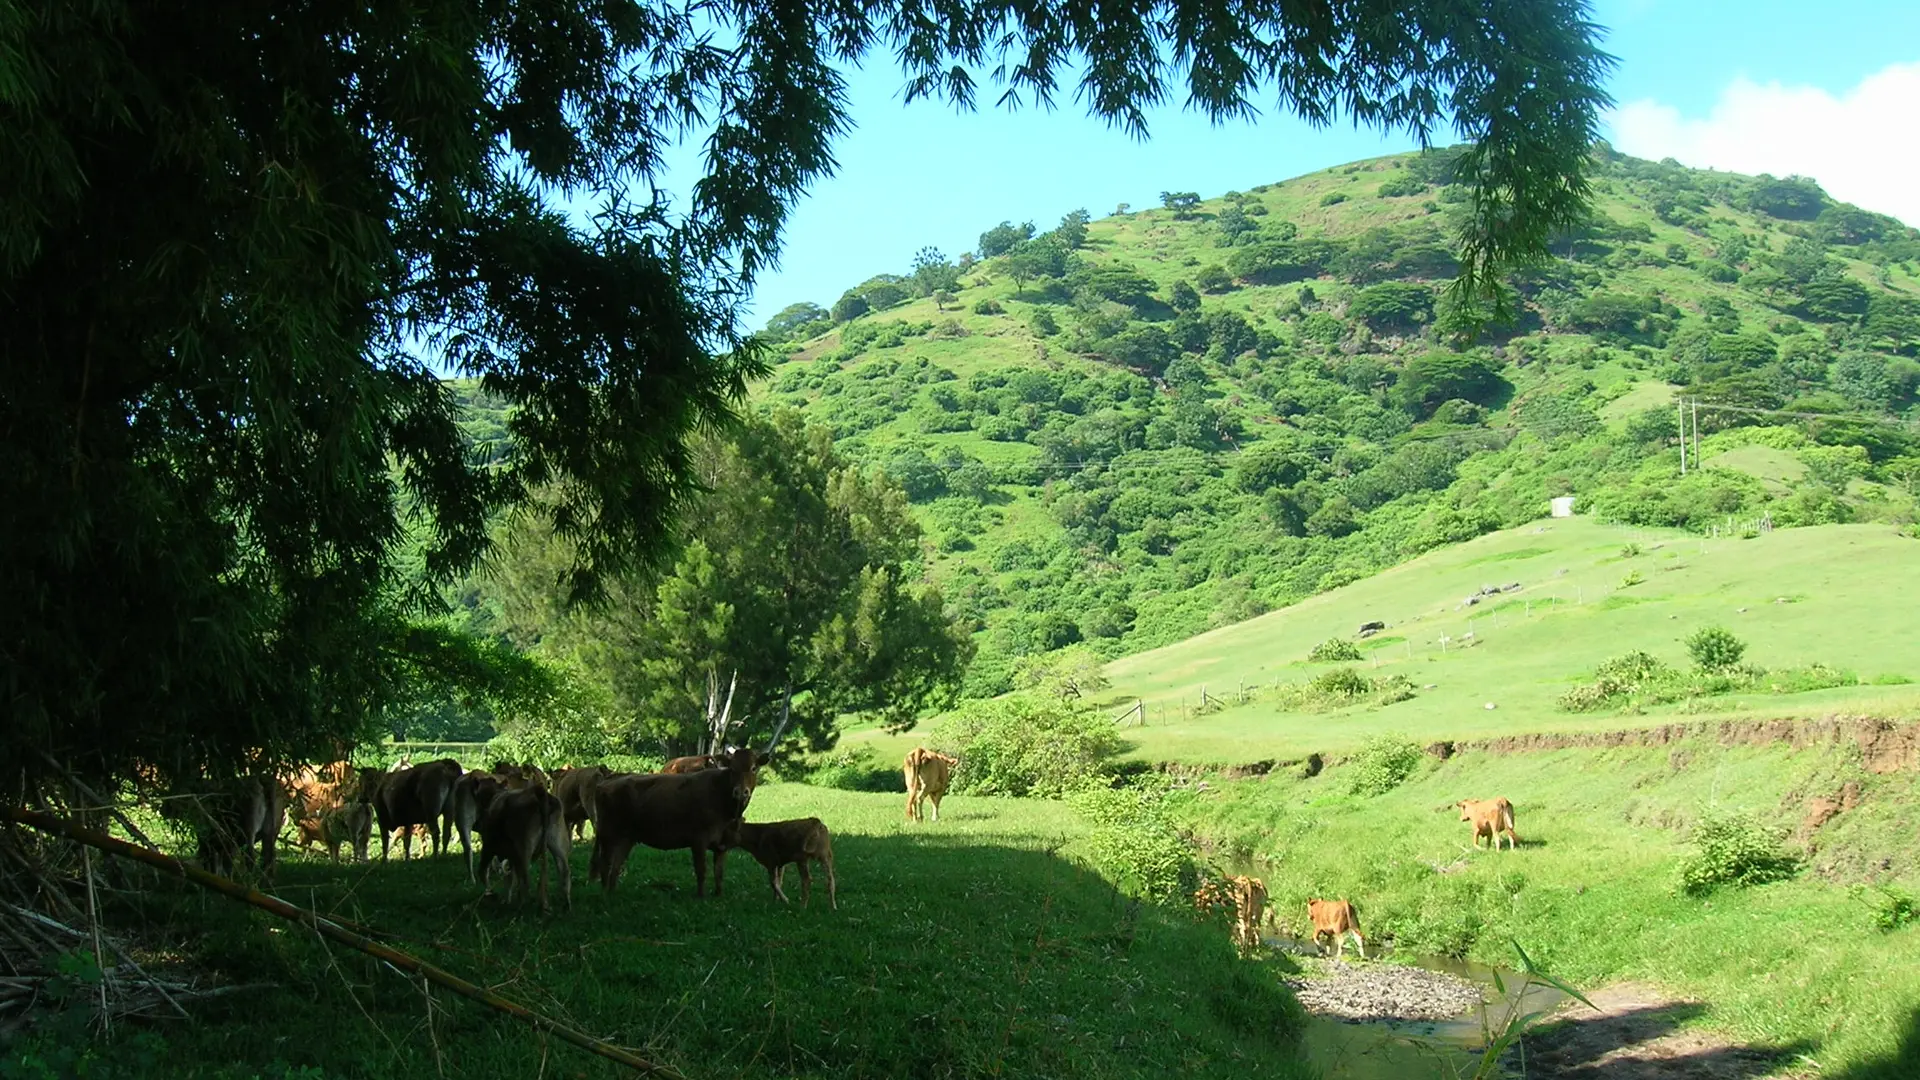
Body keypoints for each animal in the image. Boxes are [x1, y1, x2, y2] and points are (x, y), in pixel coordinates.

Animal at [587, 745, 760, 895]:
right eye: (732, 769)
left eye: (754, 768)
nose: (741, 792)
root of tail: (607, 781)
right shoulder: (698, 840)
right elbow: (701, 871)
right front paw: (701, 897)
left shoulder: (722, 844)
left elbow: (719, 874)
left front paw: (718, 895)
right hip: (608, 836)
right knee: (605, 864)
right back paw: (605, 893)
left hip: (626, 838)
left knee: (616, 866)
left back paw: (612, 892)